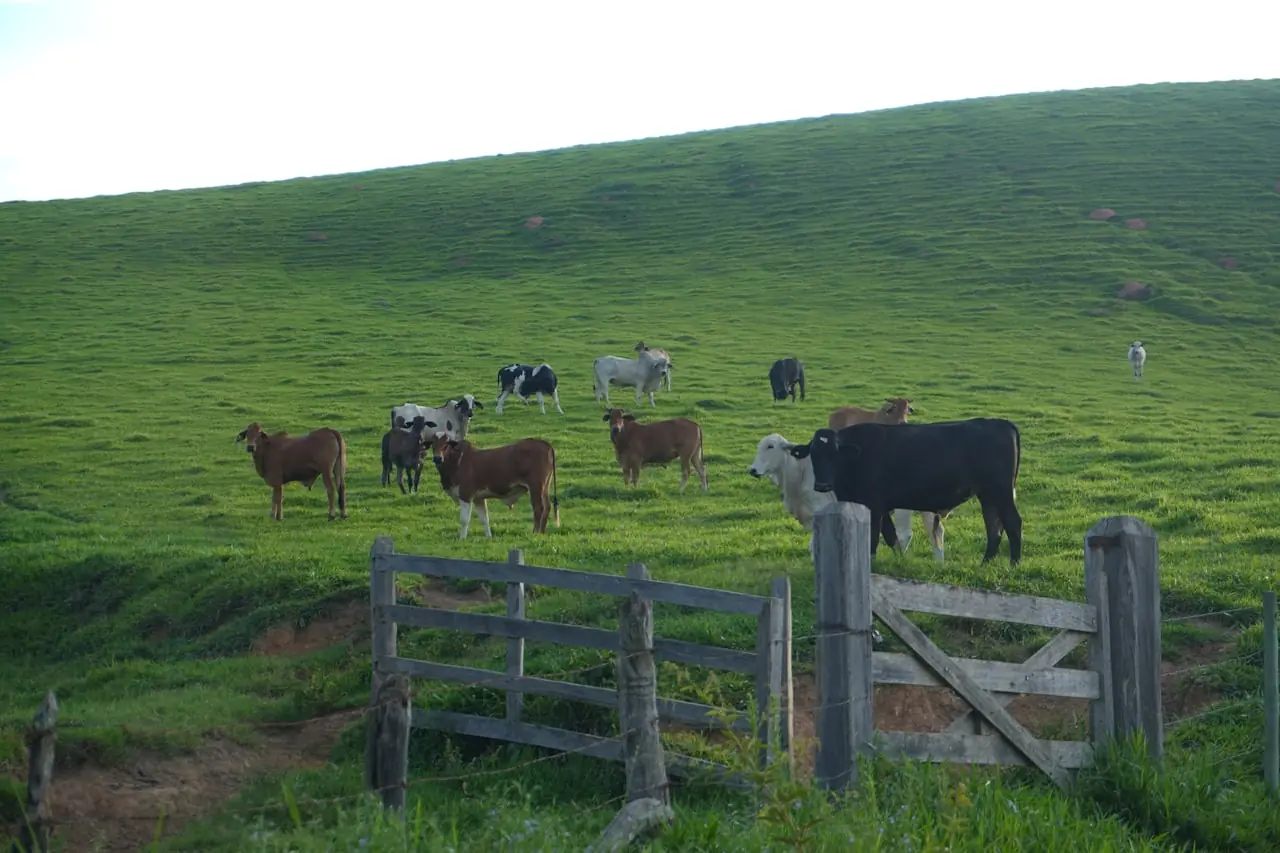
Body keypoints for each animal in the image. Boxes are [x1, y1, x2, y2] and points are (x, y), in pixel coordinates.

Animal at [429, 435, 560, 539]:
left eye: (445, 445)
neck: (458, 462)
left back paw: (535, 532)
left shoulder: (466, 495)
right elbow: (484, 519)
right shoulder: (479, 498)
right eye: (432, 445)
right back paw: (542, 532)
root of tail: (544, 443)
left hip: (536, 487)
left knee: (539, 508)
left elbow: (464, 520)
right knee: (547, 506)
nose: (437, 458)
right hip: (545, 487)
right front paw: (488, 537)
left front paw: (462, 538)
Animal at [788, 418, 1023, 566]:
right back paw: (985, 564)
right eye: (813, 453)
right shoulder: (881, 507)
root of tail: (1000, 422)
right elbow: (891, 536)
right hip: (988, 496)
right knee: (994, 527)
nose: (822, 485)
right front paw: (901, 561)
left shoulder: (874, 506)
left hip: (1001, 492)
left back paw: (1014, 564)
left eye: (835, 453)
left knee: (1012, 523)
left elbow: (874, 538)